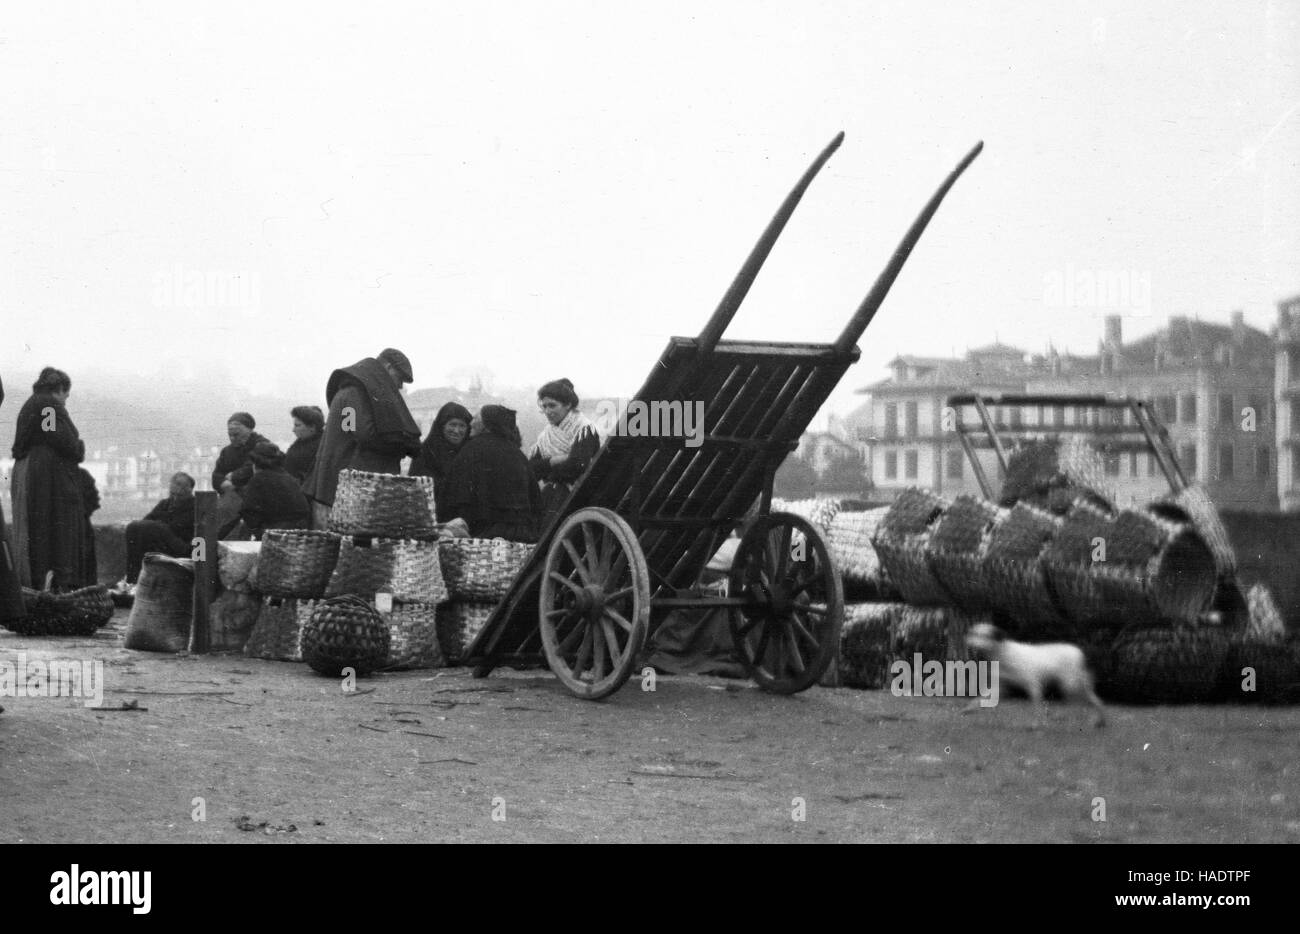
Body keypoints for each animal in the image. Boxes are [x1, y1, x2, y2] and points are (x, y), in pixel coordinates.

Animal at [967, 624, 1107, 728]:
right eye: (974, 634)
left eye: (985, 636)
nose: (971, 645)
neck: (1004, 654)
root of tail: (1080, 653)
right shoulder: (1001, 687)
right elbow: (979, 699)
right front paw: (969, 709)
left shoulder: (1033, 685)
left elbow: (1036, 708)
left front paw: (1036, 724)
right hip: (1075, 686)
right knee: (1094, 700)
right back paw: (1098, 722)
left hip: (1071, 685)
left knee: (1085, 702)